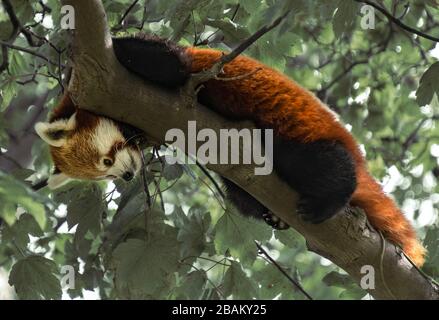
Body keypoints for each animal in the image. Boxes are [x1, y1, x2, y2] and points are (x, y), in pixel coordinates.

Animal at [36, 35, 428, 266]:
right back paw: (272, 215)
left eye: (107, 160)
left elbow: (165, 63)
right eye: (104, 172)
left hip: (298, 137)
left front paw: (85, 53)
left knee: (325, 164)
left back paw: (329, 197)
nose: (130, 174)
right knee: (240, 192)